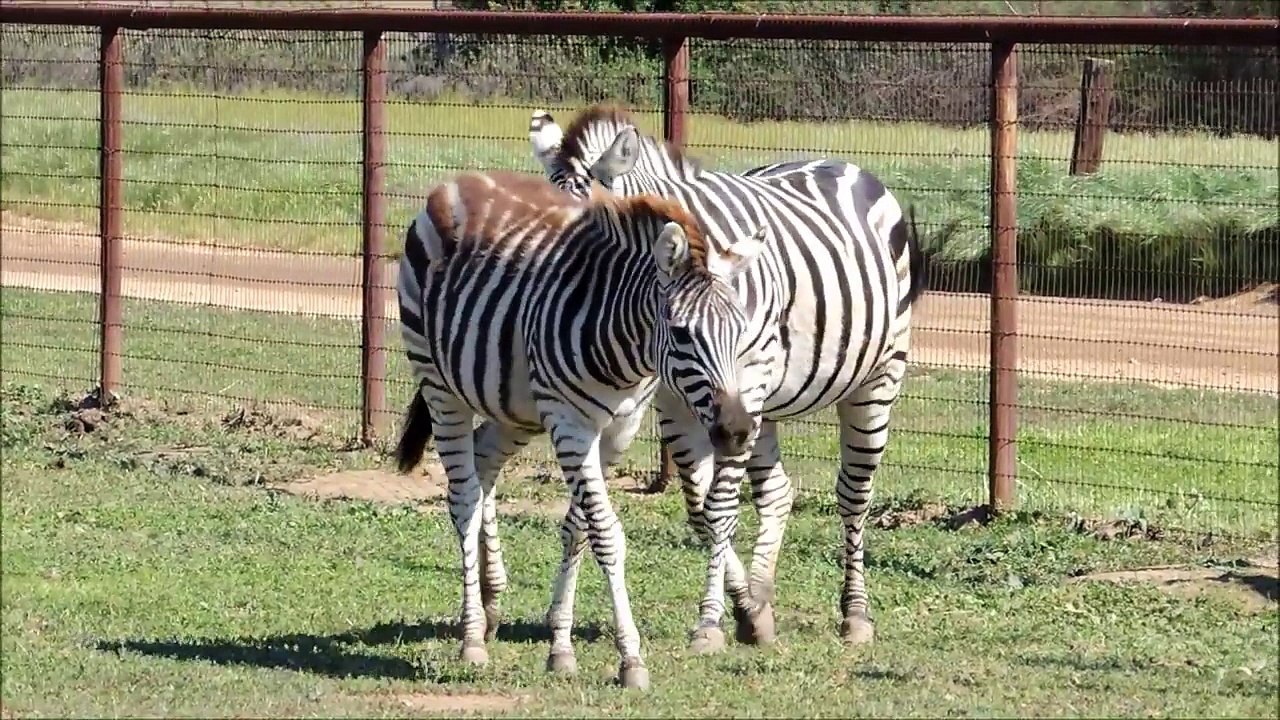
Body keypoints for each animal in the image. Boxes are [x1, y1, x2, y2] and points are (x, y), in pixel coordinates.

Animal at [392, 169, 770, 689]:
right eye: (681, 333)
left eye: (740, 331)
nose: (736, 431)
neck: (627, 351)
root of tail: (457, 181)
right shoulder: (571, 423)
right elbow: (606, 533)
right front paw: (630, 658)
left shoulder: (619, 428)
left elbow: (578, 527)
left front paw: (560, 645)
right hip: (439, 384)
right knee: (464, 498)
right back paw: (471, 636)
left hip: (514, 405)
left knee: (483, 465)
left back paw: (491, 603)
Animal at [527, 104, 927, 654]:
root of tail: (842, 163)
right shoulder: (673, 400)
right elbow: (698, 508)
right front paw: (748, 610)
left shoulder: (744, 386)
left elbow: (718, 509)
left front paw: (711, 621)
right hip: (765, 409)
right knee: (778, 492)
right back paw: (763, 595)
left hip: (875, 378)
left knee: (854, 494)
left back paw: (855, 613)